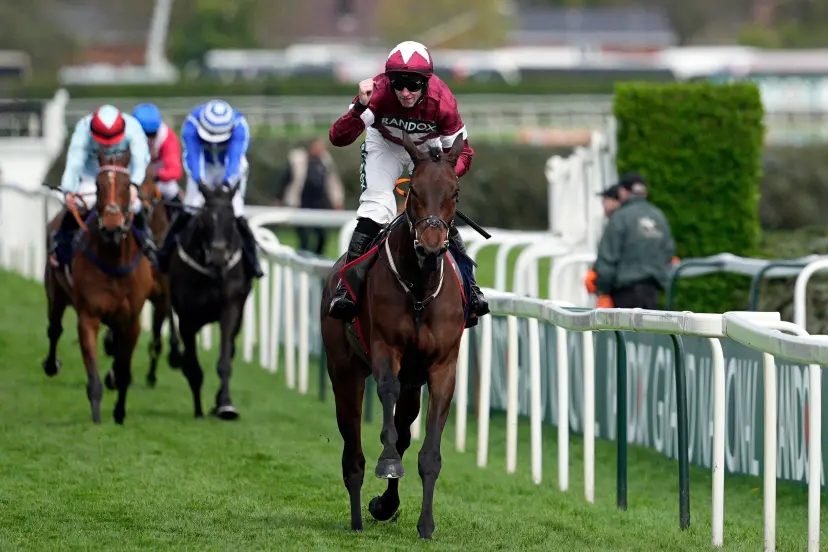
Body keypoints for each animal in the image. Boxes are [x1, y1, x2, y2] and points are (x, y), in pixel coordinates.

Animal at [41, 147, 155, 422]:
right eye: (98, 186)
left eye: (127, 184)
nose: (112, 227)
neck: (114, 259)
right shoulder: (88, 316)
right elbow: (93, 375)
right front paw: (96, 417)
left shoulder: (132, 321)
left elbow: (123, 369)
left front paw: (120, 412)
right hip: (55, 292)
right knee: (54, 329)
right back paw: (51, 364)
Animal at [168, 183, 252, 420]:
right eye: (204, 219)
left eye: (231, 219)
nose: (218, 255)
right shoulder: (186, 318)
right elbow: (192, 365)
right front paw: (198, 409)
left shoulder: (230, 309)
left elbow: (224, 360)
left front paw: (225, 404)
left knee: (230, 349)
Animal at [318, 132, 472, 536]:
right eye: (414, 190)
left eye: (455, 192)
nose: (431, 245)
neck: (419, 288)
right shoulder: (386, 350)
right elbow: (386, 407)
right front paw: (386, 462)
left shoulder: (441, 368)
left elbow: (427, 452)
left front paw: (426, 524)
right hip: (344, 370)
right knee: (352, 450)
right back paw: (358, 516)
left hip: (413, 384)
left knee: (403, 431)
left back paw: (385, 505)